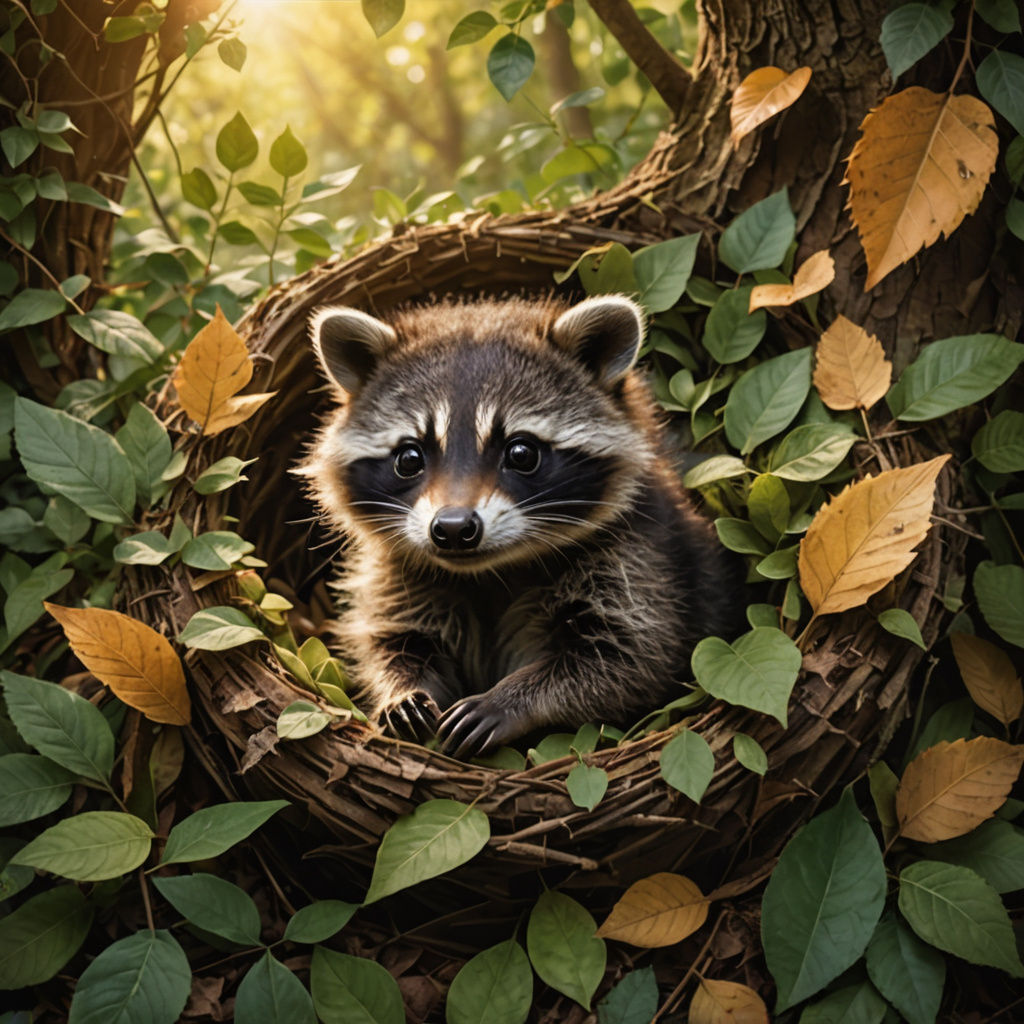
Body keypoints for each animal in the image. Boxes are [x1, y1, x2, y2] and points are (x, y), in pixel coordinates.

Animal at [301, 295, 742, 760]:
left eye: (521, 453)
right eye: (409, 458)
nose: (453, 528)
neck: (489, 572)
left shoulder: (641, 560)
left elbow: (629, 658)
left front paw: (512, 698)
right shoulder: (396, 574)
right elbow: (393, 639)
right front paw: (401, 688)